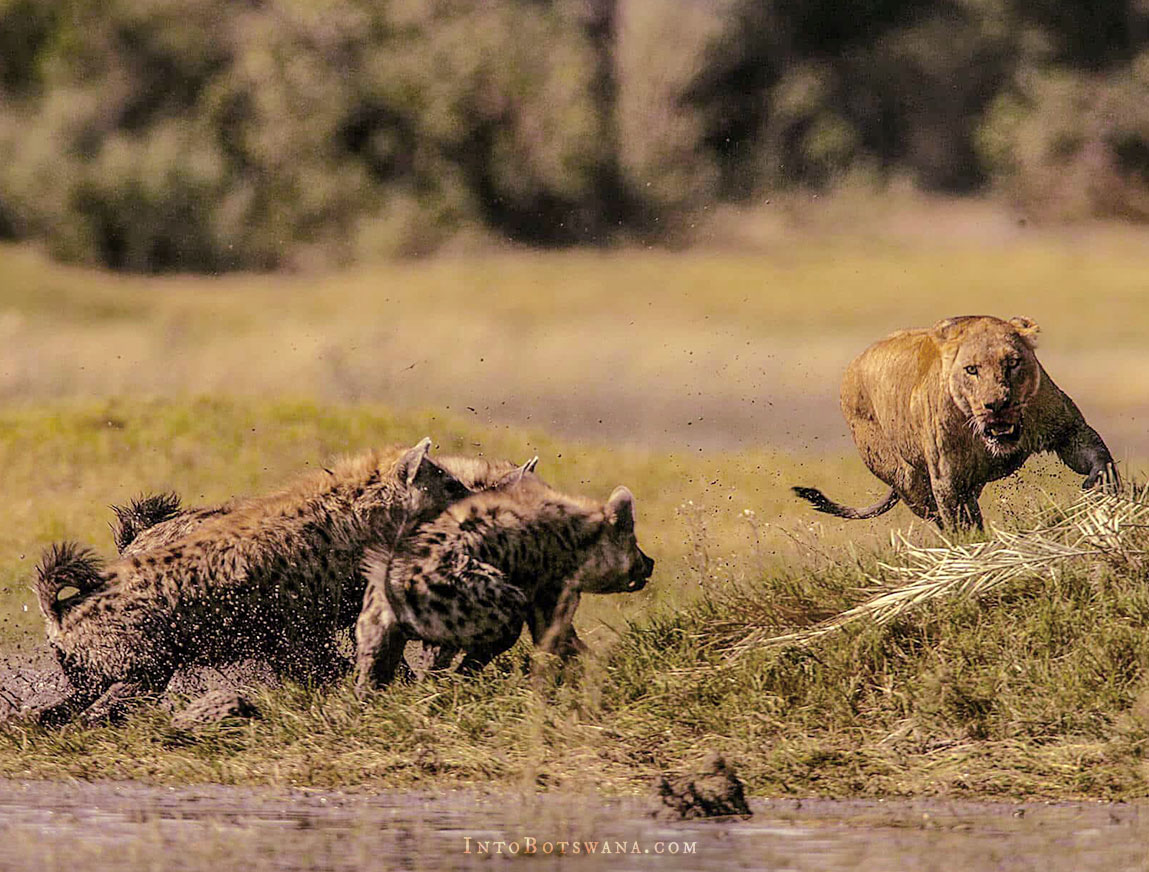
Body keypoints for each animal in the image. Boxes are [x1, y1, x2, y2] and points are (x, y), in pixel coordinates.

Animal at [793, 315, 1118, 530]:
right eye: (971, 370)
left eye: (1012, 362)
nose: (997, 404)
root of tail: (852, 367)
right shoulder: (947, 481)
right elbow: (962, 528)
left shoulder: (1067, 428)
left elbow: (1099, 458)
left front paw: (1103, 490)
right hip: (908, 480)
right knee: (936, 515)